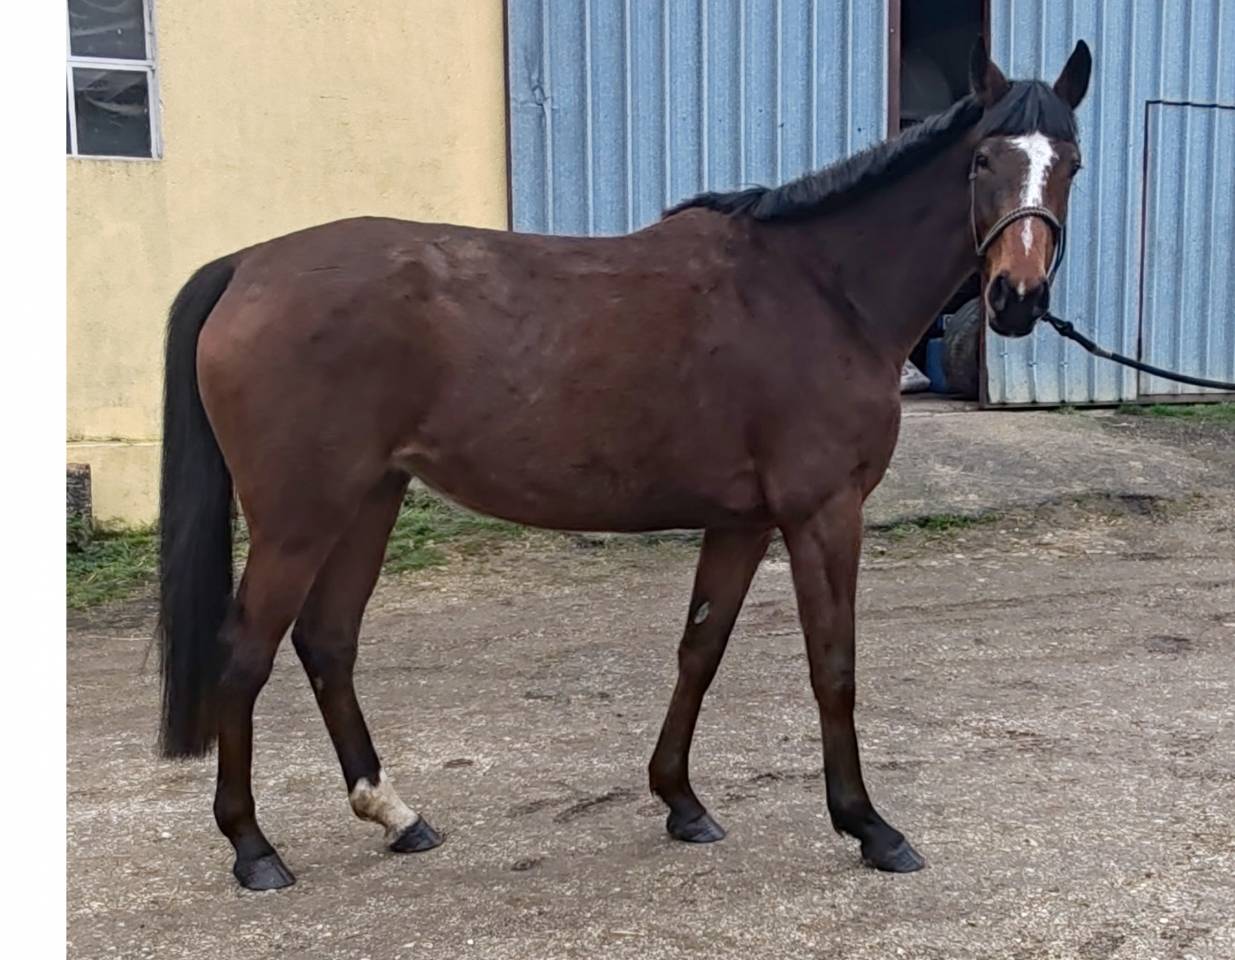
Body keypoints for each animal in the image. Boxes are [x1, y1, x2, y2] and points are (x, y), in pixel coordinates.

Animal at [157, 39, 1092, 890]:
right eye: (982, 161)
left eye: (1070, 163)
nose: (1016, 300)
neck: (822, 290)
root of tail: (247, 265)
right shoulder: (821, 512)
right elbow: (833, 666)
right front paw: (868, 826)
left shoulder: (742, 521)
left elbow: (699, 649)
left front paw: (680, 800)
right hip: (299, 517)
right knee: (246, 653)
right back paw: (253, 848)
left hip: (368, 500)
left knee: (328, 642)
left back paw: (396, 815)